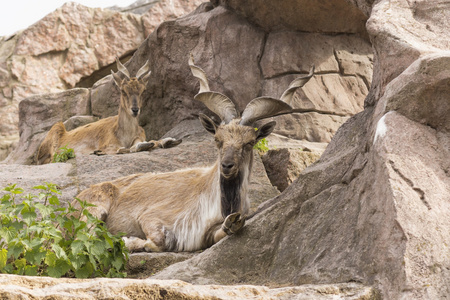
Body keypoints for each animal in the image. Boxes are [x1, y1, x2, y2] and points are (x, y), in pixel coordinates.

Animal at [36, 57, 181, 163]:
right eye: (123, 90)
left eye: (143, 90)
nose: (135, 110)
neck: (124, 133)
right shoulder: (109, 144)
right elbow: (123, 149)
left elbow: (149, 142)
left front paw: (169, 141)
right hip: (55, 132)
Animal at [73, 55, 312, 252]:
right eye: (217, 140)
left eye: (250, 142)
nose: (227, 166)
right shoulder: (151, 216)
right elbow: (159, 242)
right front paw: (126, 240)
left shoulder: (208, 233)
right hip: (94, 209)